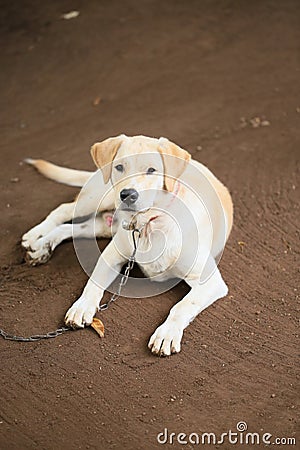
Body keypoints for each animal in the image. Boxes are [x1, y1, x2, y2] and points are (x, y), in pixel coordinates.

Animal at [22, 134, 233, 356]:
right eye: (119, 167)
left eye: (151, 170)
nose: (128, 194)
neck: (147, 225)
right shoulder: (110, 257)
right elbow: (93, 283)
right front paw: (82, 307)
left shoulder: (209, 281)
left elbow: (182, 306)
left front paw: (166, 334)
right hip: (100, 198)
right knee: (63, 210)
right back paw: (36, 236)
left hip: (105, 224)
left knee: (71, 227)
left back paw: (42, 246)